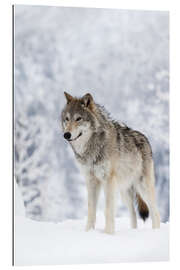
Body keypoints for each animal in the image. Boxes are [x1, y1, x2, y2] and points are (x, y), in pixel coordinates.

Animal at [60, 92, 160, 233]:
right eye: (67, 119)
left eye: (79, 118)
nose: (66, 134)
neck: (92, 148)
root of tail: (145, 138)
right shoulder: (91, 181)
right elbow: (91, 210)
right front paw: (88, 232)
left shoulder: (108, 181)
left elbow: (108, 210)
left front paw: (108, 233)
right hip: (124, 192)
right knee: (133, 214)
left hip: (143, 187)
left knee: (156, 212)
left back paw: (155, 231)